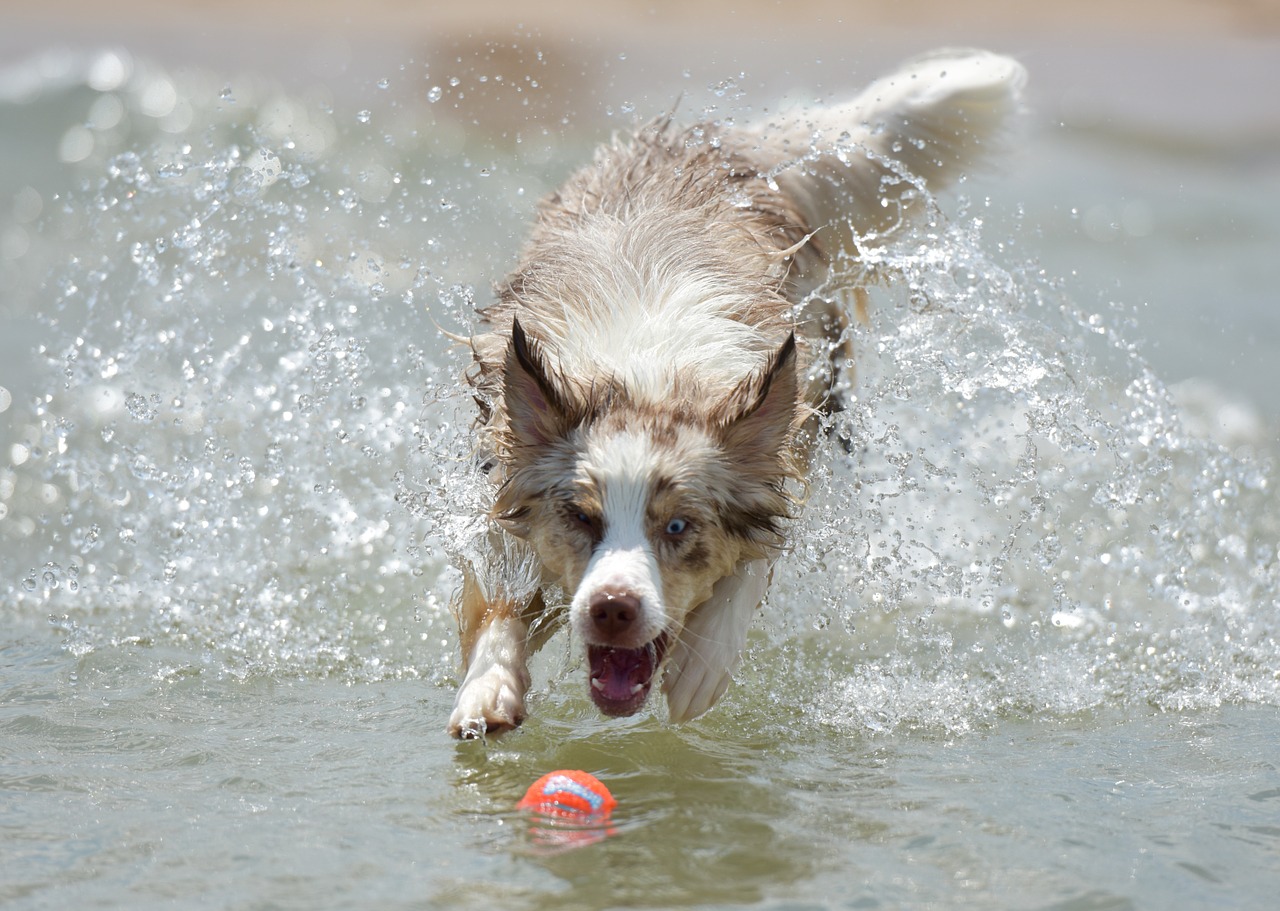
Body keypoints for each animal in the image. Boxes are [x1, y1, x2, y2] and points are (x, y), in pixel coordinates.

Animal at [445, 46, 1024, 736]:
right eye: (582, 517)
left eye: (678, 526)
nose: (612, 607)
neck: (647, 379)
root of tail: (722, 144)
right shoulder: (502, 479)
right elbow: (498, 597)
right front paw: (487, 687)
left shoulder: (786, 449)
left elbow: (757, 557)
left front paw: (702, 665)